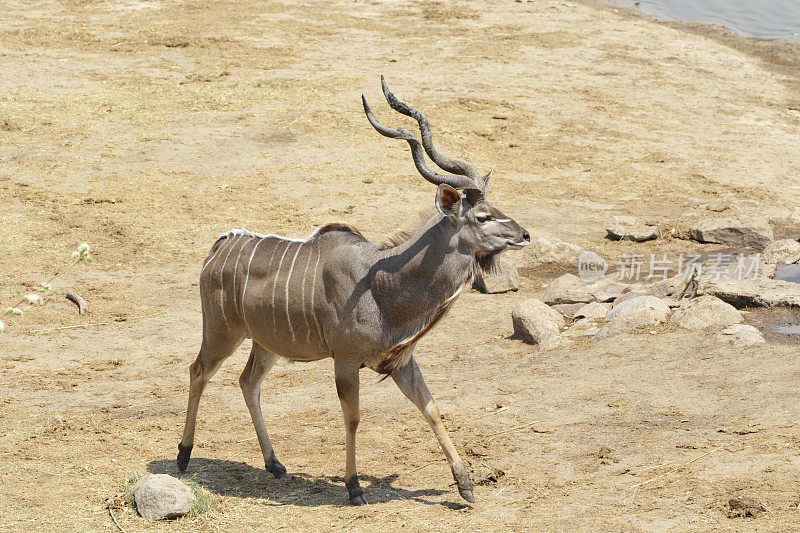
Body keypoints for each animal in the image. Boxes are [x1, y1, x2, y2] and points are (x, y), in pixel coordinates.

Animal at [180, 77, 532, 504]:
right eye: (482, 216)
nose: (524, 235)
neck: (382, 285)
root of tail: (217, 250)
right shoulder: (346, 361)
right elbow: (353, 418)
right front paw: (353, 487)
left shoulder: (401, 361)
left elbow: (431, 407)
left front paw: (465, 485)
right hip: (222, 333)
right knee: (199, 371)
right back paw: (183, 458)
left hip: (266, 343)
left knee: (248, 382)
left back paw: (275, 464)